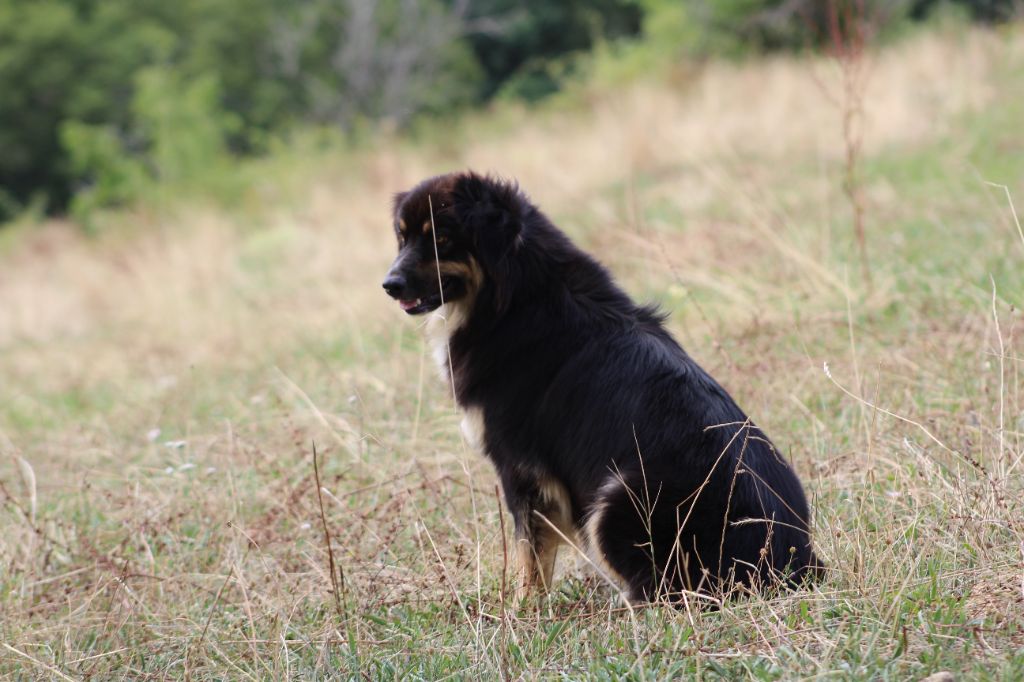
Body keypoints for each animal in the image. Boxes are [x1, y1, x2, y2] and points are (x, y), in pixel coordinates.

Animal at [385, 169, 823, 602]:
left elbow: (531, 556)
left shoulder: (521, 470)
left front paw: (524, 608)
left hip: (614, 500)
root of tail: (791, 563)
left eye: (442, 239)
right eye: (402, 238)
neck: (512, 297)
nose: (389, 284)